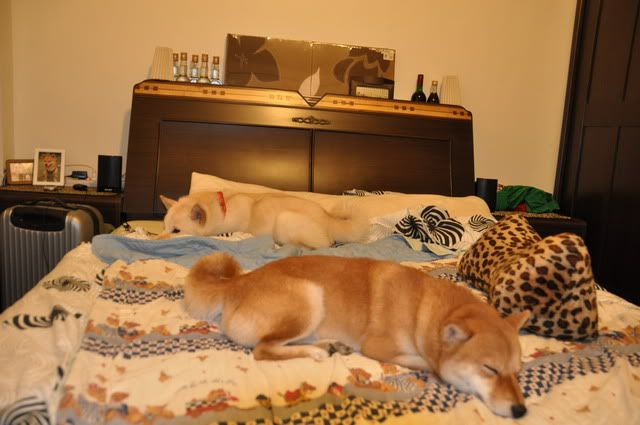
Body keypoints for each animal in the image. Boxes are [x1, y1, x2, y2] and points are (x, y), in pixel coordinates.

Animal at [184, 253, 530, 418]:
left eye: (517, 372)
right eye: (490, 369)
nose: (521, 411)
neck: (423, 307)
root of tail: (238, 282)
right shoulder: (378, 346)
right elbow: (428, 363)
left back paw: (329, 344)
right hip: (310, 298)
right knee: (263, 349)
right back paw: (316, 352)